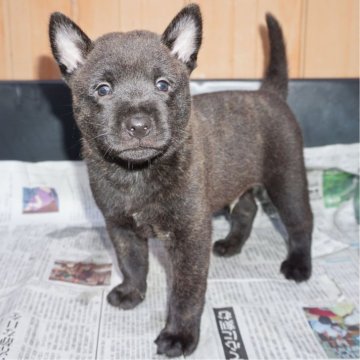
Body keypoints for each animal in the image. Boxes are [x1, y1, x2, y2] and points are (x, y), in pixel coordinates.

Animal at [48, 4, 312, 358]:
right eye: (103, 89)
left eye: (163, 85)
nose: (138, 124)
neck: (137, 172)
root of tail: (268, 93)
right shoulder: (120, 227)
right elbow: (132, 264)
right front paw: (132, 293)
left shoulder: (189, 236)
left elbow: (186, 293)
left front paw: (180, 336)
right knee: (247, 209)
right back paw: (231, 244)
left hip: (286, 179)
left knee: (300, 223)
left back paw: (299, 265)